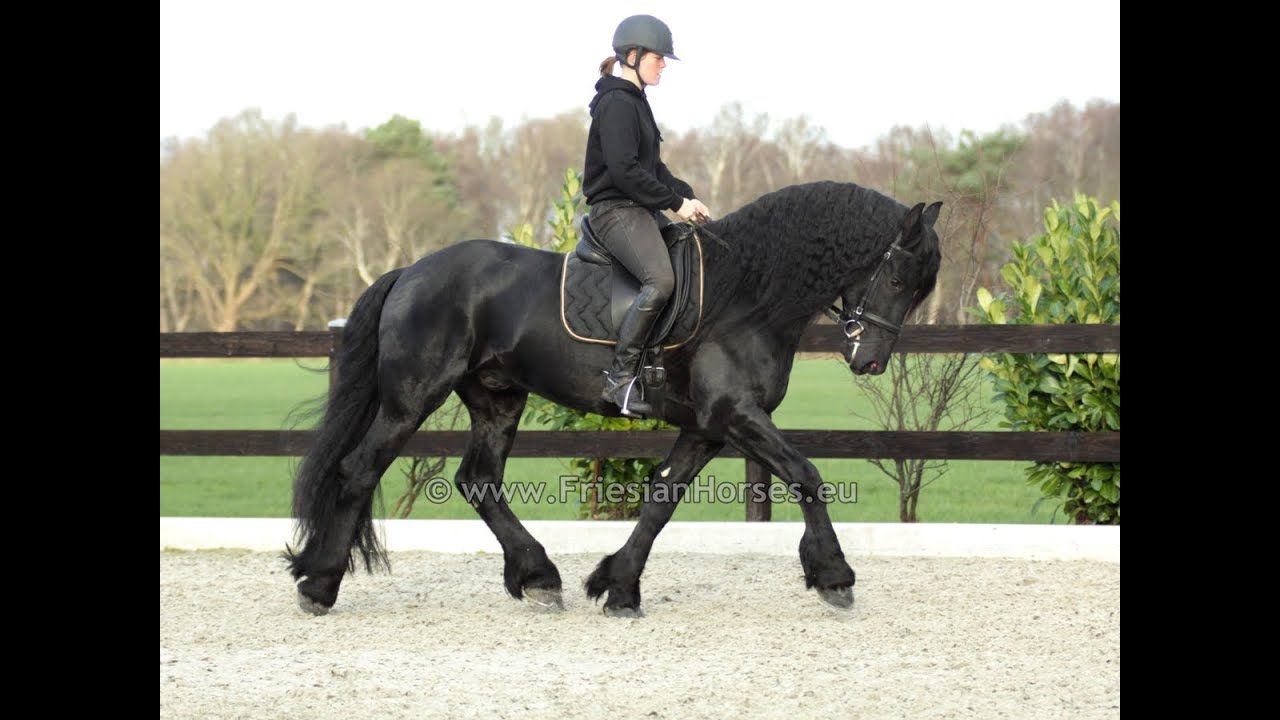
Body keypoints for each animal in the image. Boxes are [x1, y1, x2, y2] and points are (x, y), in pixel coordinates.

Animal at [286, 180, 943, 617]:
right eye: (897, 278)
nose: (870, 362)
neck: (747, 298)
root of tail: (412, 271)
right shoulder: (736, 416)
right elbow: (806, 474)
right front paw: (834, 575)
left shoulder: (708, 427)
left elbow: (660, 501)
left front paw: (619, 586)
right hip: (412, 398)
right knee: (357, 470)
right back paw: (319, 585)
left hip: (497, 397)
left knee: (479, 480)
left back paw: (539, 577)